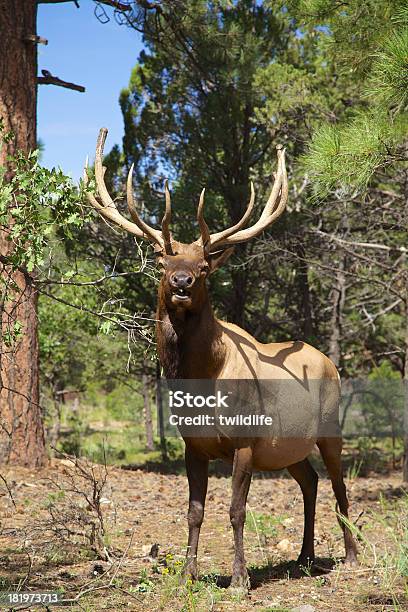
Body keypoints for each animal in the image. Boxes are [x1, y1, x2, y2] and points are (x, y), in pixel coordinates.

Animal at [85, 129, 356, 592]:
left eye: (204, 266)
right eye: (163, 261)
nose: (181, 281)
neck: (202, 378)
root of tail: (327, 359)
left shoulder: (245, 441)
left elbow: (236, 510)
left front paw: (241, 578)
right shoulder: (192, 444)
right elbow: (194, 511)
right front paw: (187, 575)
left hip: (330, 425)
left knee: (339, 485)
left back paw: (352, 555)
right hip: (289, 448)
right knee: (310, 481)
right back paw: (304, 556)